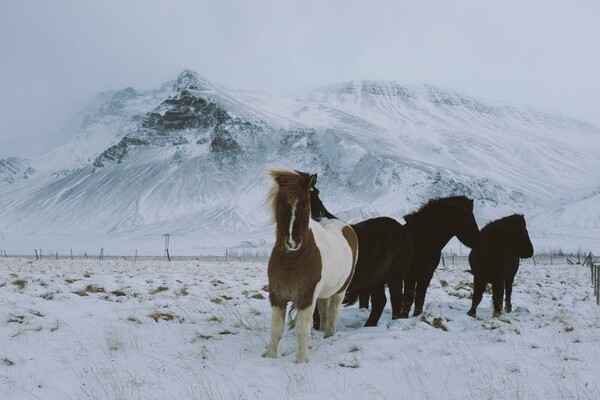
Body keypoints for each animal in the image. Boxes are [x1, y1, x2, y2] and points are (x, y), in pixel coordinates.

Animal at [262, 167, 356, 364]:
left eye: (306, 203)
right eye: (281, 203)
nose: (292, 242)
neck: (293, 259)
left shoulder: (306, 298)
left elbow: (302, 331)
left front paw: (302, 361)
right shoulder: (278, 297)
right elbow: (276, 330)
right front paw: (270, 356)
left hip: (340, 290)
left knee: (333, 314)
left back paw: (329, 337)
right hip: (321, 294)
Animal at [310, 186, 412, 326]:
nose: (318, 214)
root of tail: (403, 229)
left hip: (395, 276)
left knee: (396, 299)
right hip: (376, 279)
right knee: (380, 301)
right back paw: (369, 325)